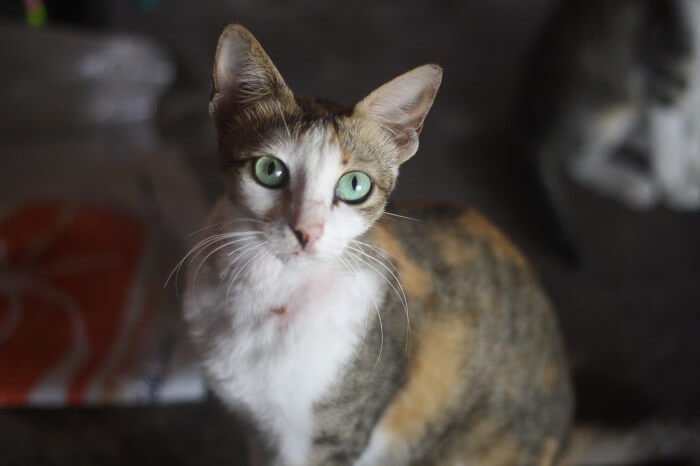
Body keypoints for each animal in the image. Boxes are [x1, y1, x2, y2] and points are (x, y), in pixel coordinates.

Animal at [180, 23, 576, 464]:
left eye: (354, 185)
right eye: (270, 170)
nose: (307, 230)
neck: (271, 289)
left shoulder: (330, 438)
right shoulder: (256, 429)